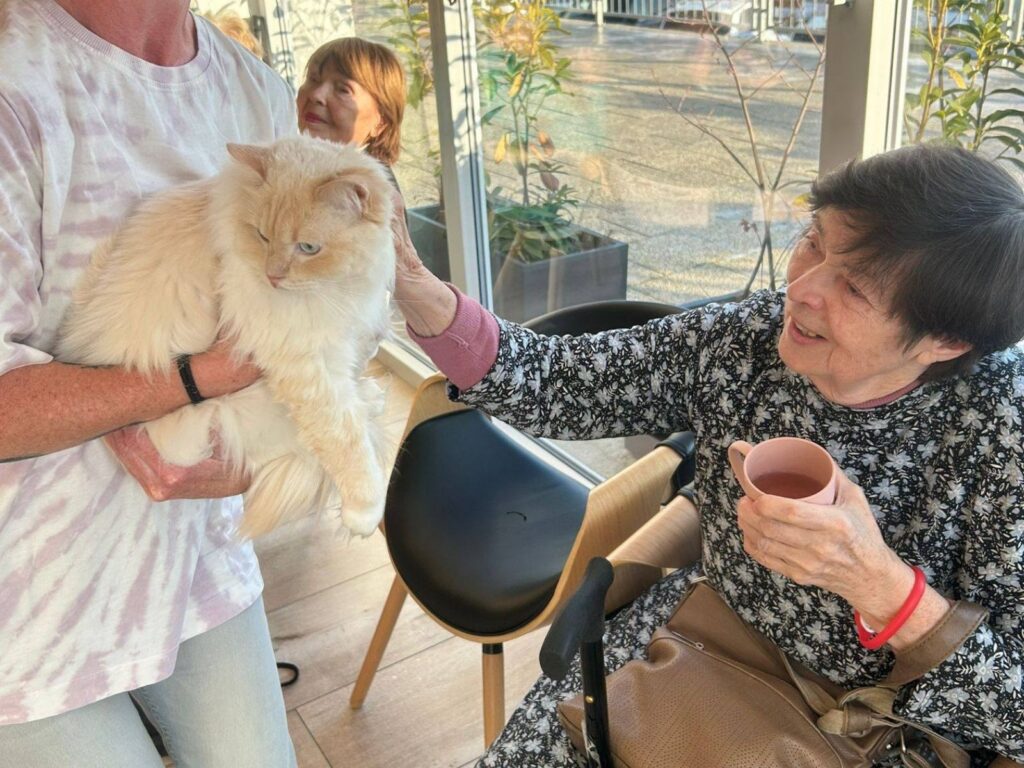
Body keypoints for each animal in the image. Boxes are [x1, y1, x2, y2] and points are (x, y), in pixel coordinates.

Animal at [57, 136, 396, 539]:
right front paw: (365, 511)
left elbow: (370, 337)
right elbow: (342, 435)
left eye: (308, 248)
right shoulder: (304, 360)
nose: (273, 277)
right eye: (263, 236)